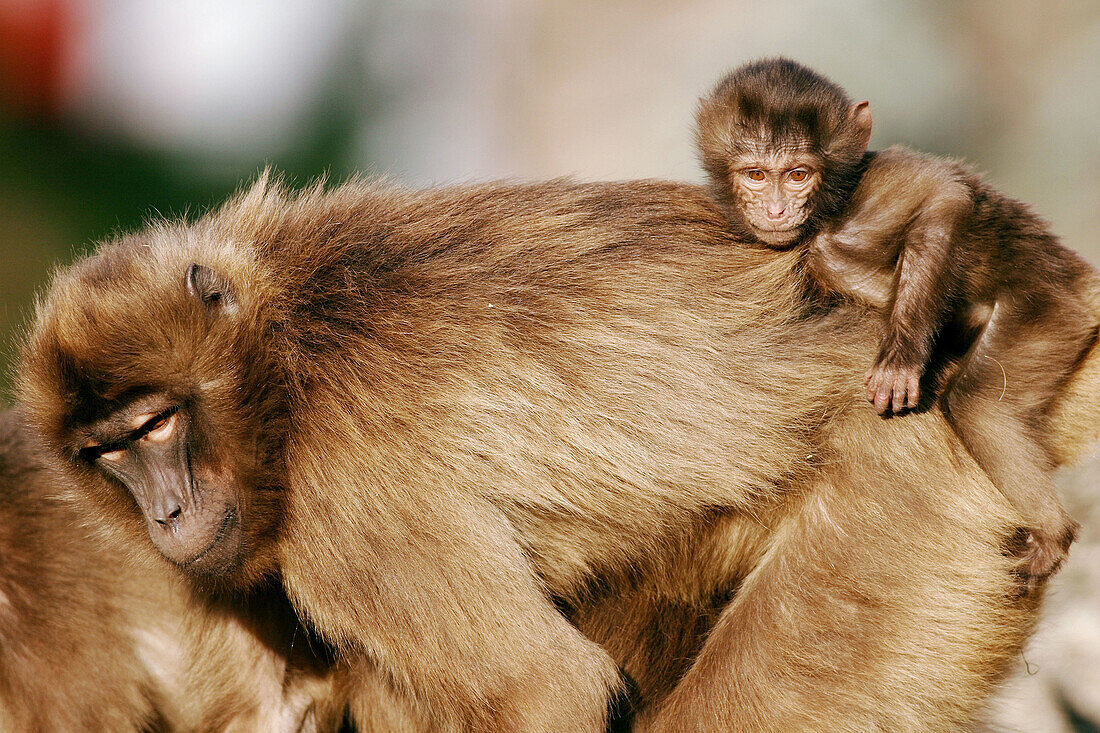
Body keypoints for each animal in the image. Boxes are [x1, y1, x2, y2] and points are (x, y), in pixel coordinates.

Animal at [690, 58, 1095, 589]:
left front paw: (901, 360)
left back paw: (1053, 533)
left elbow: (944, 197)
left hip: (1050, 312)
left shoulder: (877, 184)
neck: (829, 213)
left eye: (798, 174)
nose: (776, 209)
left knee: (979, 404)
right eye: (756, 174)